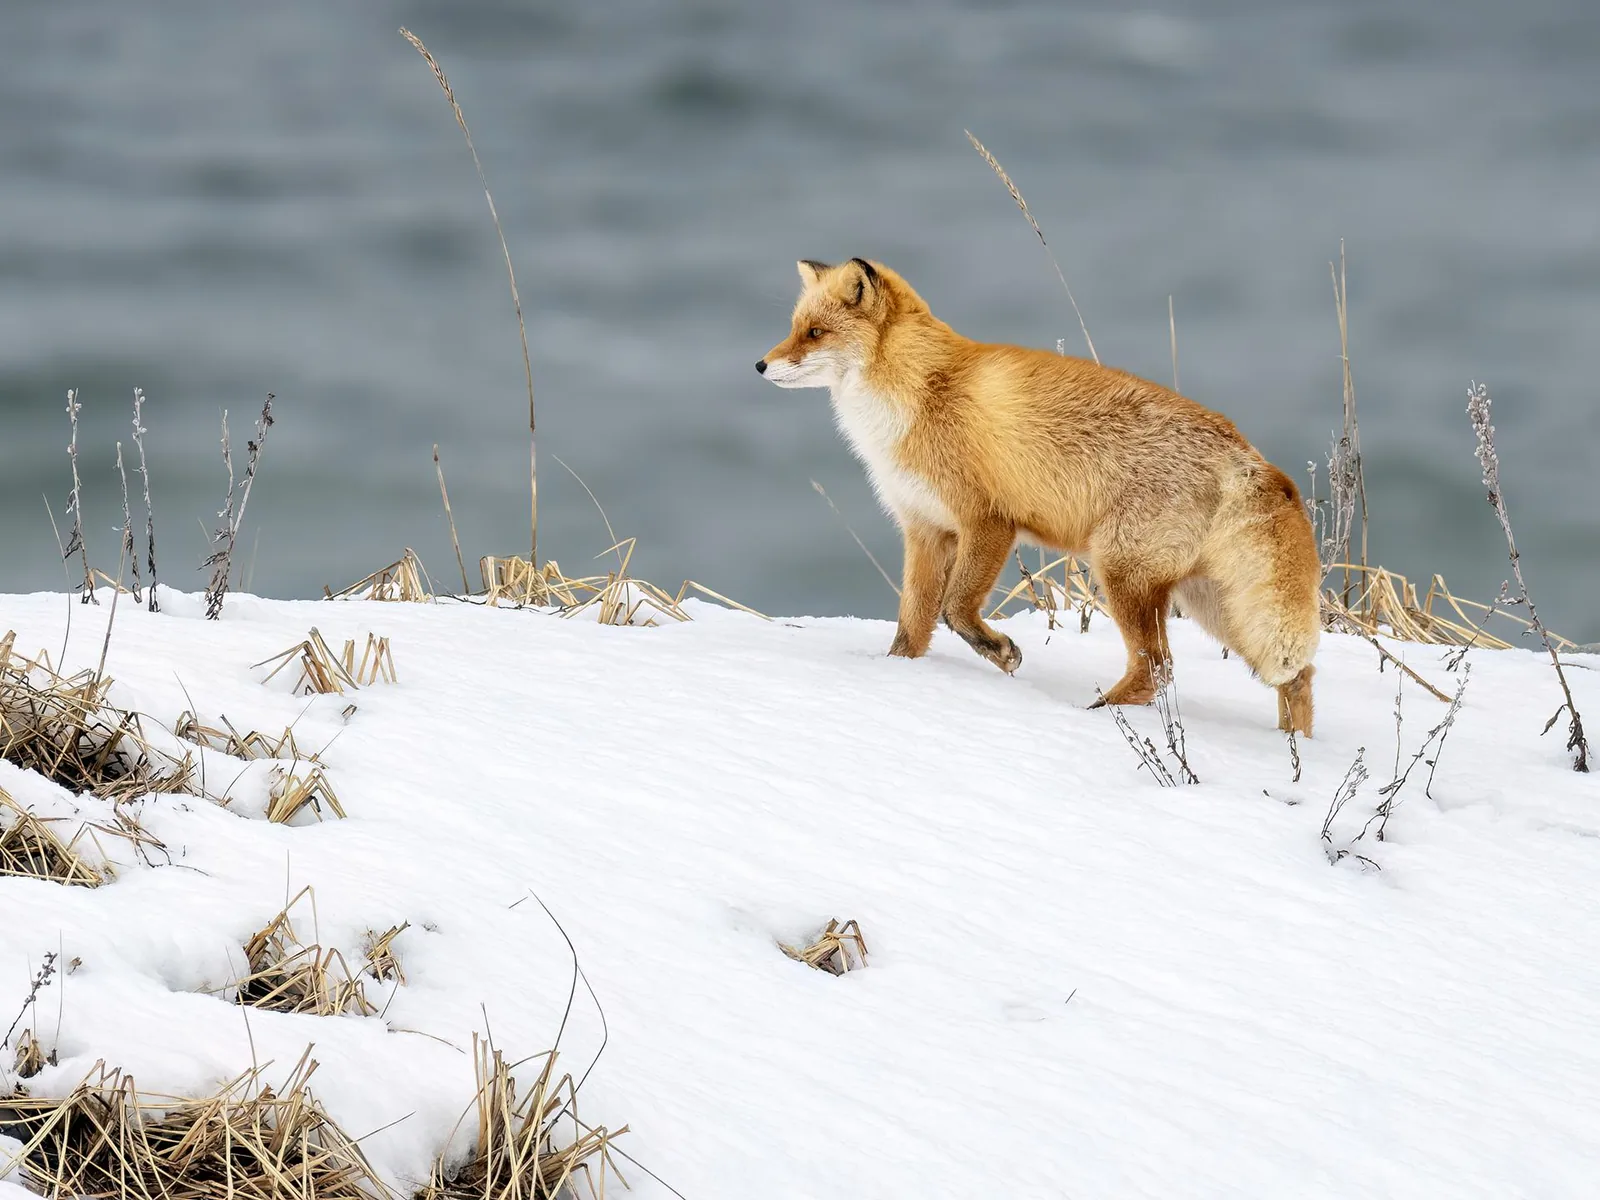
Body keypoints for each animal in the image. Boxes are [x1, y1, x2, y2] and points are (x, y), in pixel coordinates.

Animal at [758, 257, 1321, 735]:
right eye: (794, 328)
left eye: (815, 333)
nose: (761, 366)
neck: (918, 392)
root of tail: (1247, 454)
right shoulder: (925, 529)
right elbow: (912, 626)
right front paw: (896, 679)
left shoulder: (987, 521)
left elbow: (955, 610)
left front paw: (1001, 652)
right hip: (1210, 605)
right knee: (1296, 675)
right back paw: (1296, 752)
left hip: (1120, 575)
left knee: (1158, 668)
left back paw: (1094, 716)